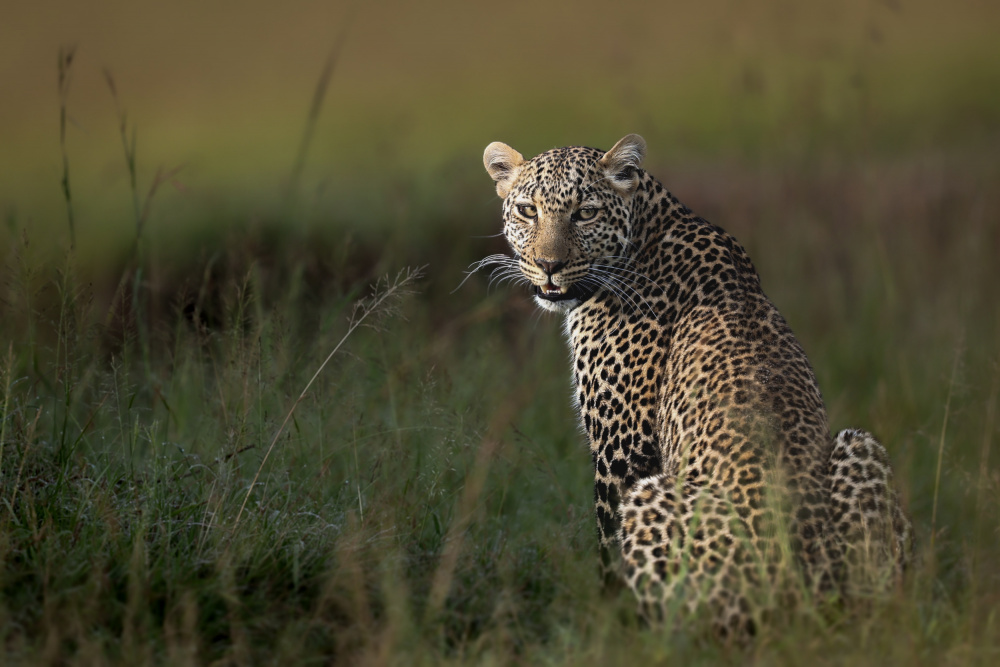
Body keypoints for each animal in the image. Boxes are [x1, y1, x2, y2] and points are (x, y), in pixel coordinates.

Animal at [480, 133, 912, 640]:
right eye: (528, 211)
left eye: (584, 213)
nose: (549, 265)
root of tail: (800, 595)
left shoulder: (623, 450)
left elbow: (609, 553)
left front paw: (609, 628)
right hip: (859, 447)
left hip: (652, 499)